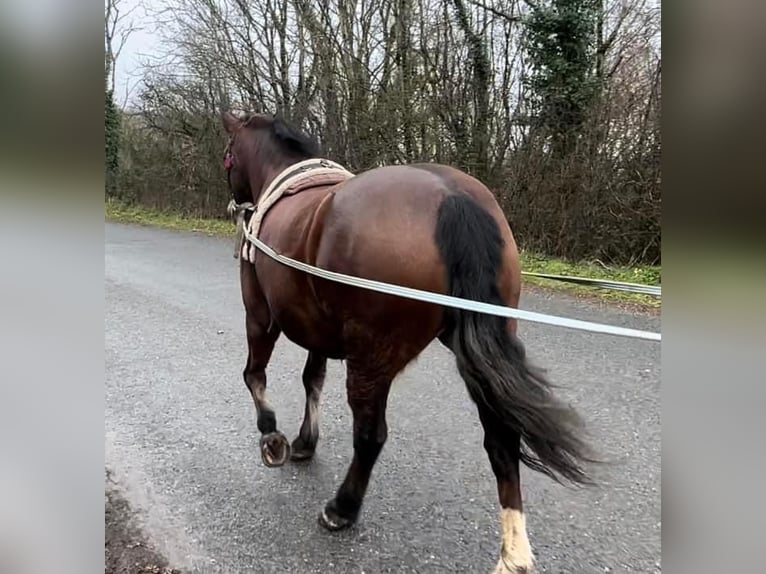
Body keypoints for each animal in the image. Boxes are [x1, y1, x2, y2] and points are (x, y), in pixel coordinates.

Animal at [220, 110, 592, 572]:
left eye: (227, 154)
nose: (233, 202)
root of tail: (451, 197)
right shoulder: (317, 331)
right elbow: (312, 380)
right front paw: (306, 442)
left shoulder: (260, 315)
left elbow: (255, 375)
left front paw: (272, 438)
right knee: (502, 440)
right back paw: (514, 552)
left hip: (370, 359)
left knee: (370, 436)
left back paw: (343, 508)